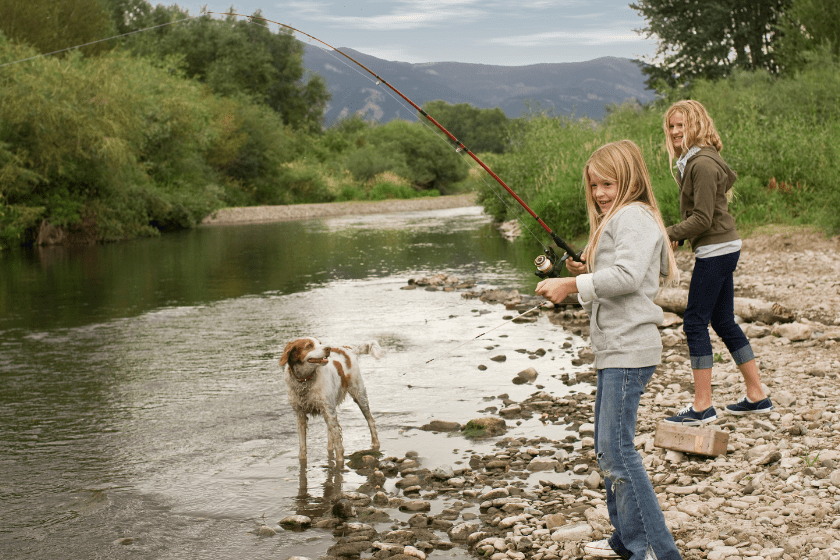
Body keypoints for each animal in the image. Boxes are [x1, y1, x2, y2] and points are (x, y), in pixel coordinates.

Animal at [280, 336, 382, 464]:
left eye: (320, 343)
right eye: (309, 346)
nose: (327, 348)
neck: (305, 380)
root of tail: (346, 348)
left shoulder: (329, 410)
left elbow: (338, 443)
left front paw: (339, 463)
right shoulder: (301, 414)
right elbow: (302, 445)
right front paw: (302, 461)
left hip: (359, 395)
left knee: (370, 420)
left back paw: (375, 443)